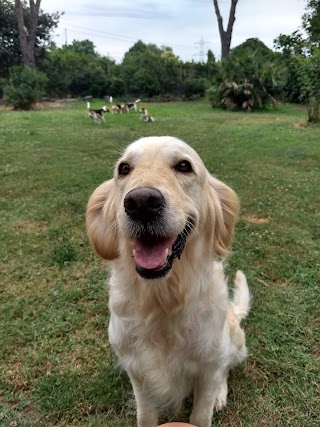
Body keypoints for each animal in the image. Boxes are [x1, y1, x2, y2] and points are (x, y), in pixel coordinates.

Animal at [86, 136, 251, 427]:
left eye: (184, 166)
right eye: (124, 168)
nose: (141, 203)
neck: (163, 299)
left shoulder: (209, 366)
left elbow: (202, 412)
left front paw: (213, 399)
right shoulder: (138, 373)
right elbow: (145, 416)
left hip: (235, 343)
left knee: (226, 369)